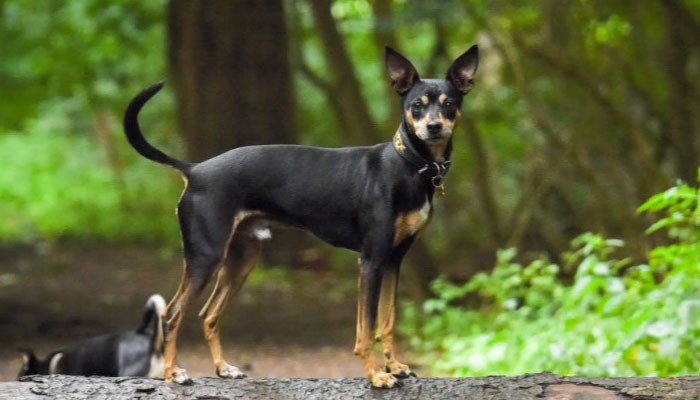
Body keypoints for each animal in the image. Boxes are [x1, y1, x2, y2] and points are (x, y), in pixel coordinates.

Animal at [123, 44, 478, 388]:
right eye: (417, 105)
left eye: (449, 104)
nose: (433, 126)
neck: (406, 165)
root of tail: (195, 170)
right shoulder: (371, 261)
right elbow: (366, 330)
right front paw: (377, 375)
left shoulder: (393, 260)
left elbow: (387, 322)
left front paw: (396, 367)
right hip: (206, 257)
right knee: (172, 315)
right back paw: (173, 373)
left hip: (241, 259)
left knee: (207, 315)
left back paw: (224, 369)